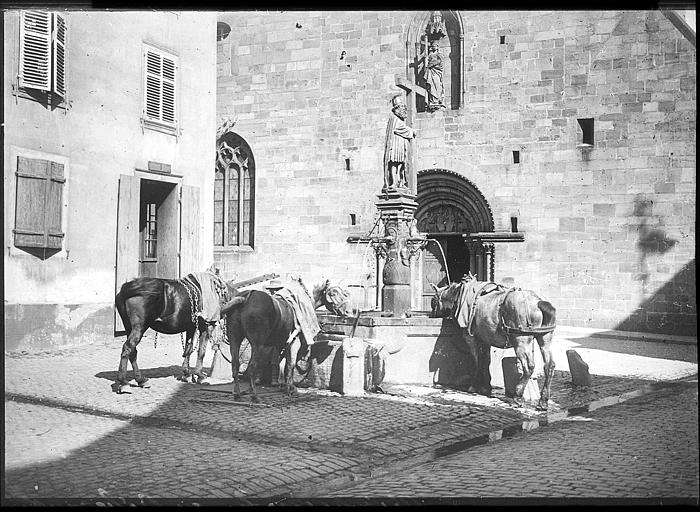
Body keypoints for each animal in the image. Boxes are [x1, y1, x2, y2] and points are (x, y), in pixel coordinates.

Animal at [220, 280, 352, 404]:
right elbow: (290, 364)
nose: (349, 312)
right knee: (252, 367)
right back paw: (254, 396)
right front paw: (290, 388)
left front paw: (283, 385)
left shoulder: (280, 344)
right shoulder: (294, 342)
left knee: (235, 365)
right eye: (332, 293)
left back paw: (237, 394)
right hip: (257, 344)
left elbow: (281, 363)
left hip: (234, 339)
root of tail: (245, 297)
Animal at [430, 276, 556, 412]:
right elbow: (486, 360)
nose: (431, 315)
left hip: (521, 341)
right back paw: (543, 401)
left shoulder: (471, 338)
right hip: (545, 337)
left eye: (433, 301)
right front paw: (486, 386)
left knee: (528, 367)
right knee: (549, 366)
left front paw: (474, 385)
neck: (460, 295)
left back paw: (518, 396)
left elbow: (476, 360)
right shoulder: (485, 339)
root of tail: (539, 302)